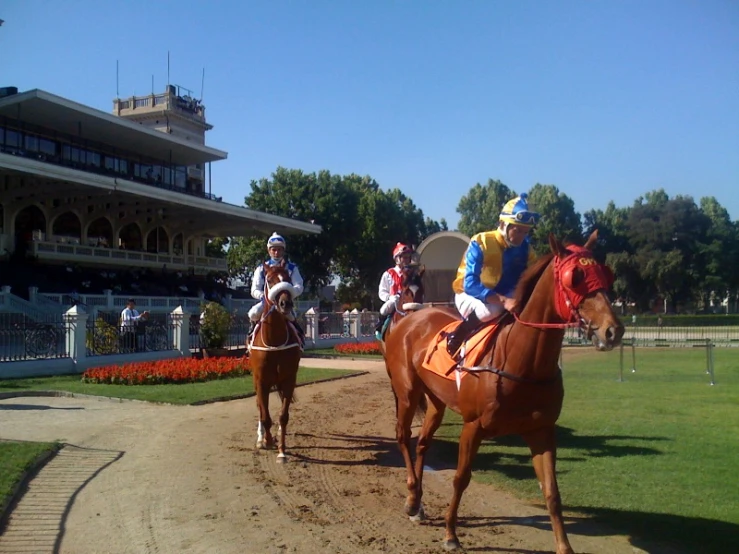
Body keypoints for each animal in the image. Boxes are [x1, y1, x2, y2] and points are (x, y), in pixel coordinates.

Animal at [249, 260, 300, 460]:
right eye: (269, 280)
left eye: (287, 279)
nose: (285, 303)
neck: (274, 342)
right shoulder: (261, 380)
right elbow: (265, 416)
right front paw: (267, 440)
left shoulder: (288, 380)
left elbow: (283, 417)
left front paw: (281, 450)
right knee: (260, 407)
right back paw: (260, 437)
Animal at [388, 230, 624, 552]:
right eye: (574, 277)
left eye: (604, 273)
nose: (613, 330)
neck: (522, 361)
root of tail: (410, 318)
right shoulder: (473, 426)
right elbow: (461, 478)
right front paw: (451, 534)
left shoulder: (541, 430)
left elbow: (551, 492)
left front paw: (564, 546)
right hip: (408, 393)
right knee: (403, 437)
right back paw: (412, 496)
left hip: (436, 401)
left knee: (423, 443)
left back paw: (416, 501)